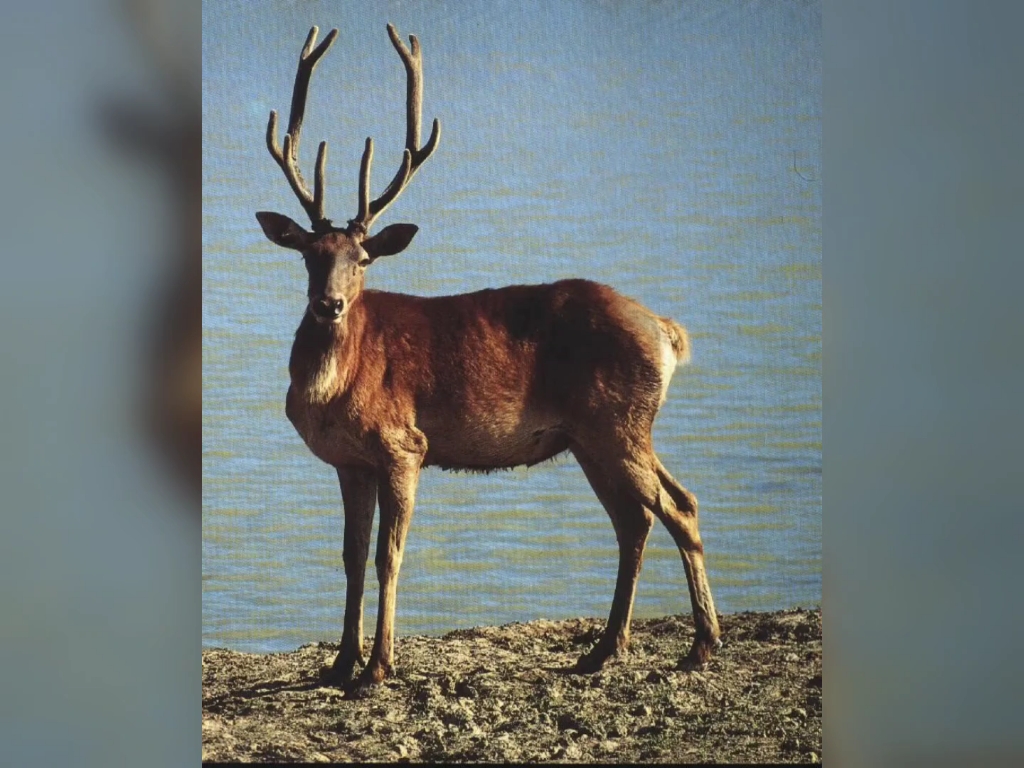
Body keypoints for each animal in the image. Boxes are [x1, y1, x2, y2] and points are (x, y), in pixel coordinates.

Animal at [255, 24, 721, 697]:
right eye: (308, 254)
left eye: (363, 259)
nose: (330, 304)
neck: (330, 392)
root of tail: (666, 331)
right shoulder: (349, 461)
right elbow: (350, 555)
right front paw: (339, 663)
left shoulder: (403, 443)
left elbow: (388, 555)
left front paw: (378, 667)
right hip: (592, 436)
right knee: (637, 519)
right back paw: (604, 649)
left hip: (619, 422)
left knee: (677, 507)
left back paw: (701, 644)